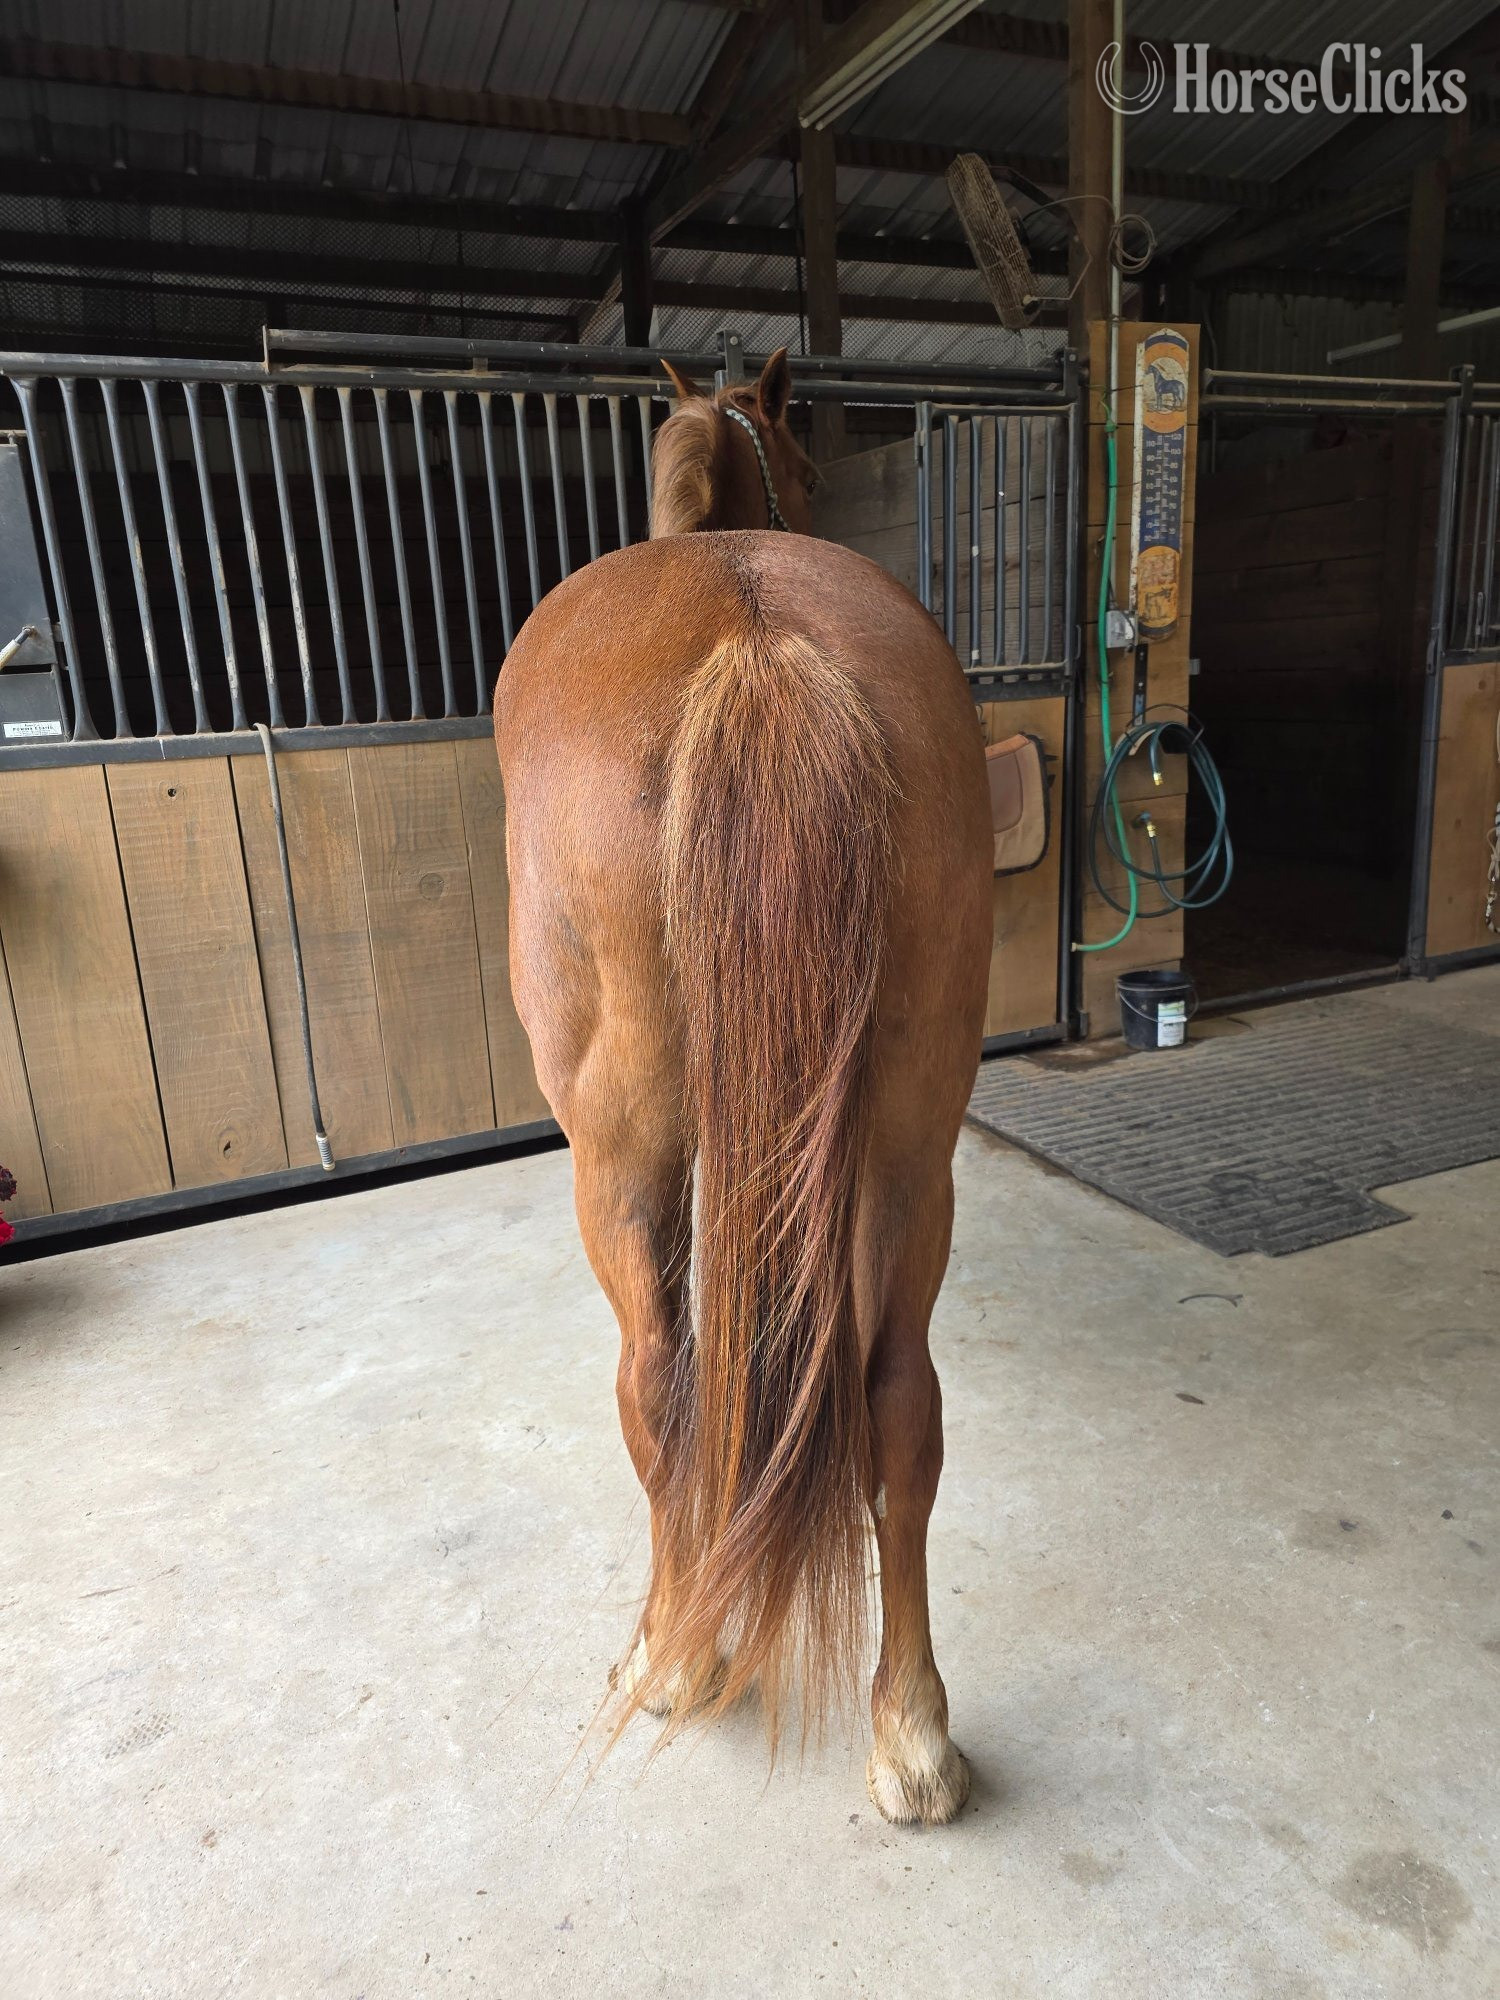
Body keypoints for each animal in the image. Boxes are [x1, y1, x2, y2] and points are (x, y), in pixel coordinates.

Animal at [494, 347, 991, 1825]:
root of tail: (756, 637)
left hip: (622, 1156)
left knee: (659, 1382)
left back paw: (671, 1654)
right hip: (909, 1144)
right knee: (901, 1406)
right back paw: (912, 1729)